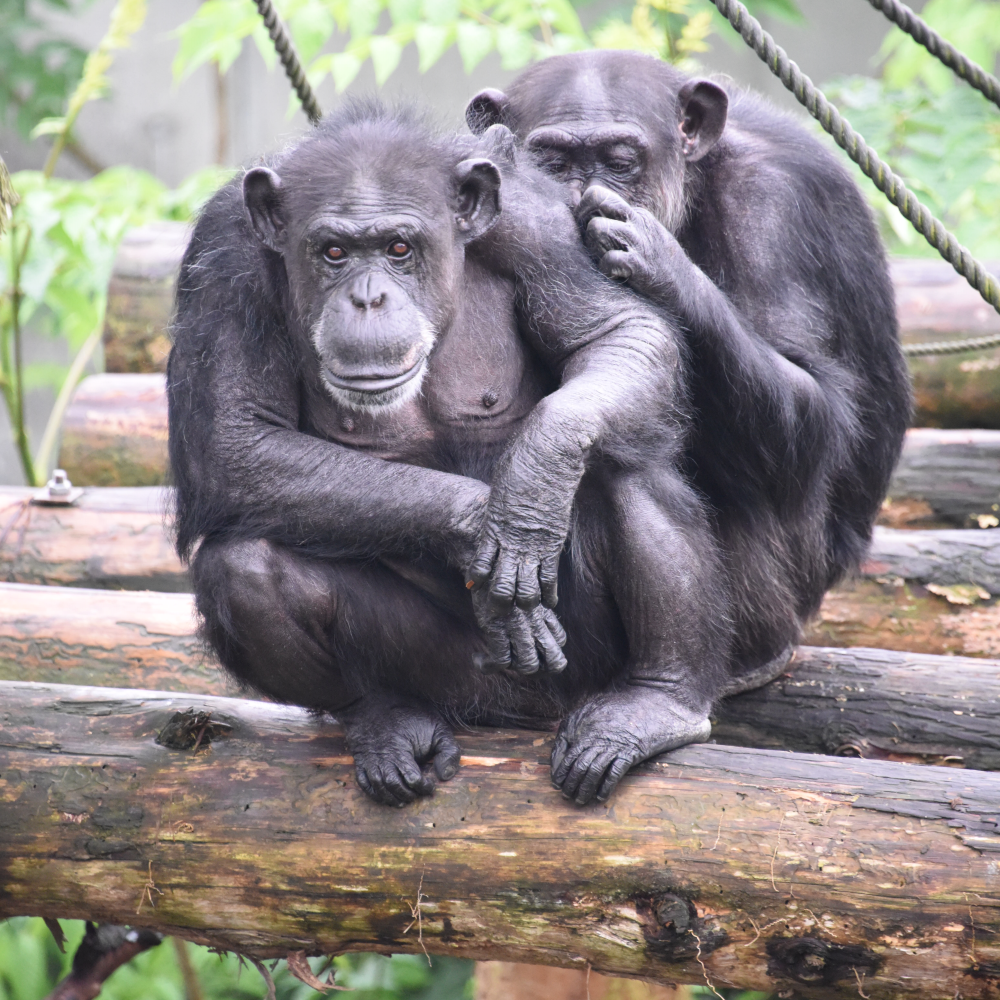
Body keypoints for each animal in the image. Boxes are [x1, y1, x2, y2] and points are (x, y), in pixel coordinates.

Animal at [168, 101, 748, 808]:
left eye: (399, 248)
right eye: (333, 251)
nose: (368, 297)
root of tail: (535, 713)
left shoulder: (535, 224)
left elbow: (618, 333)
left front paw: (533, 484)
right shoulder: (225, 261)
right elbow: (238, 441)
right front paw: (482, 526)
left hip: (590, 664)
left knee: (622, 457)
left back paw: (656, 704)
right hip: (462, 684)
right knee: (242, 566)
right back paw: (385, 720)